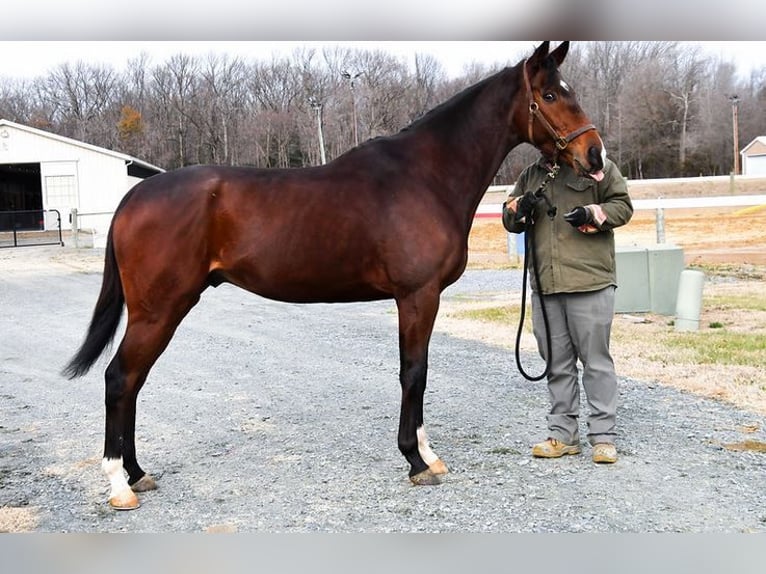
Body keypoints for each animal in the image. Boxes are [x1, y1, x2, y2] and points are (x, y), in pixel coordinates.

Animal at [64, 40, 608, 510]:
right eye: (551, 95)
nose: (595, 156)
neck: (426, 175)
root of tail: (135, 195)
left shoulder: (419, 297)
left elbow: (419, 372)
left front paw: (427, 455)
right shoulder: (418, 295)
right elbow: (414, 372)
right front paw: (416, 461)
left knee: (133, 382)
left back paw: (137, 473)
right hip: (159, 310)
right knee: (120, 378)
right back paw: (120, 484)